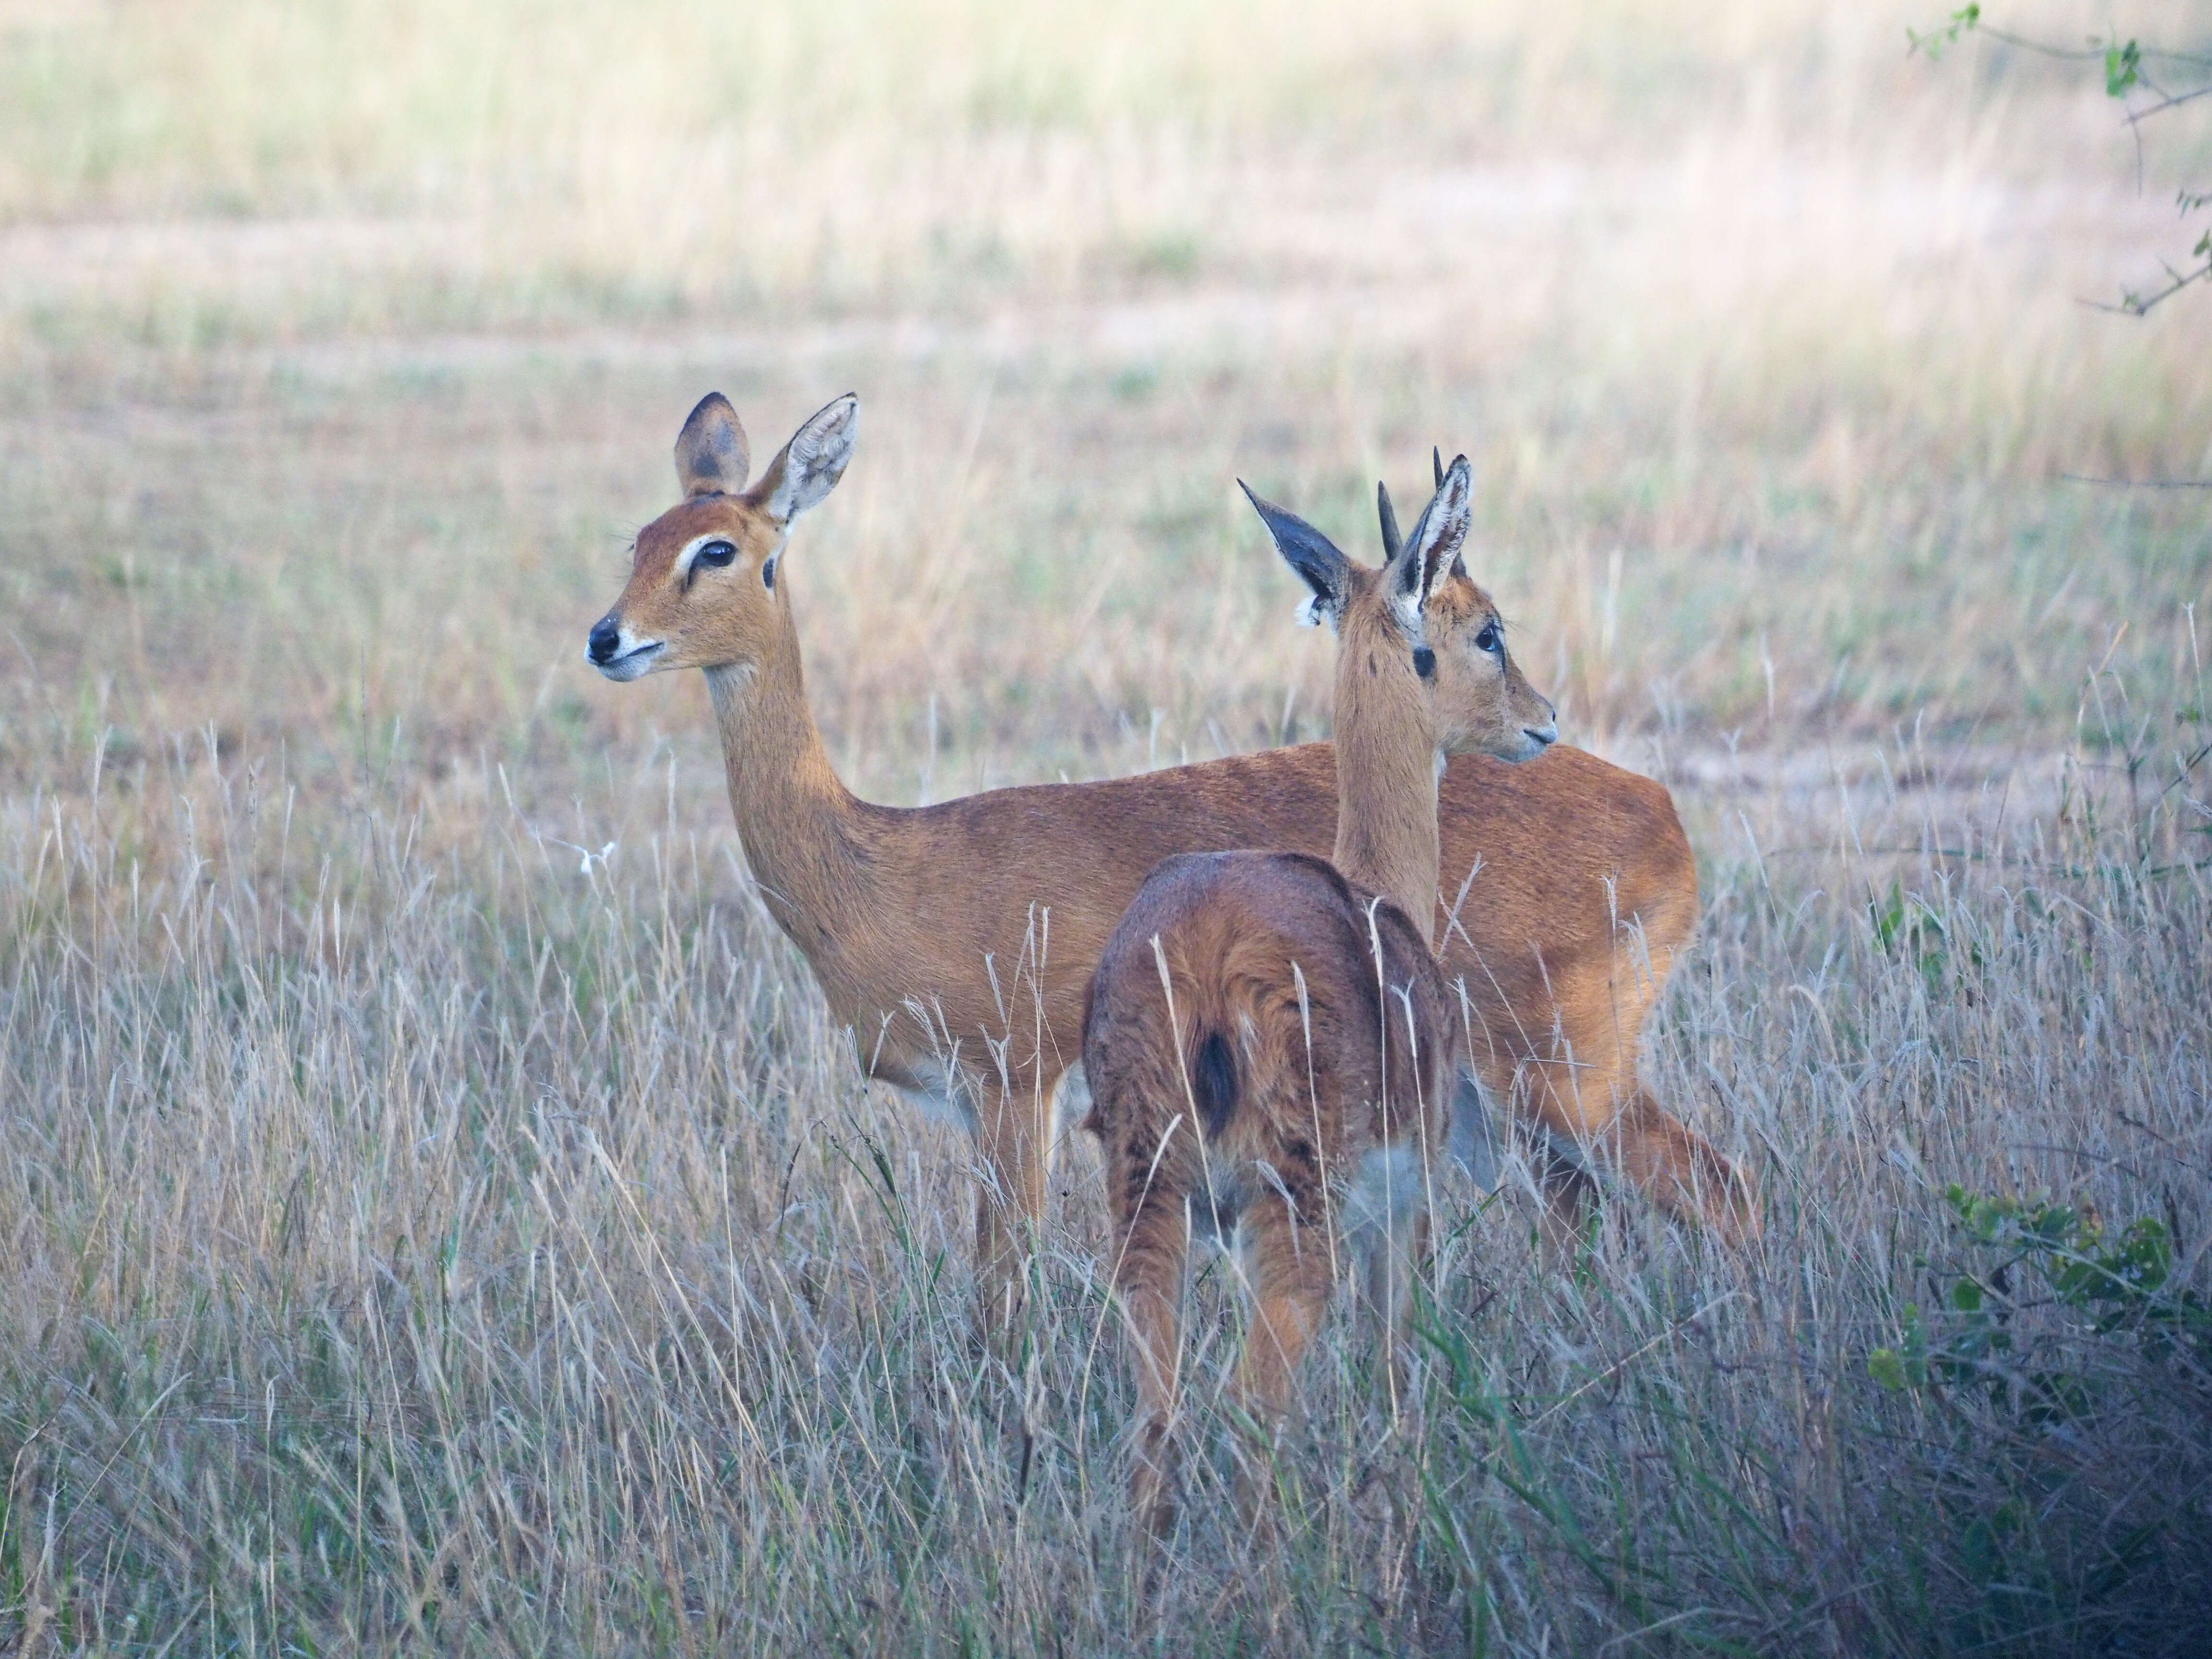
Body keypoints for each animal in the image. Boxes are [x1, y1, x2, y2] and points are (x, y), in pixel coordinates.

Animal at [588, 394, 1760, 1336]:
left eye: (718, 550)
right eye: (641, 539)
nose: (607, 639)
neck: (883, 864)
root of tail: (1662, 813)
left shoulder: (1014, 1089)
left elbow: (1003, 1295)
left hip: (1566, 1086)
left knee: (1724, 1191)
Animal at [1079, 457, 1548, 1548]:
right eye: (1488, 629)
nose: (1542, 719)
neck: (1380, 895)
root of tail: (1205, 960)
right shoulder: (1406, 1208)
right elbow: (1397, 1375)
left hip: (1151, 1206)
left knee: (1157, 1422)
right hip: (1295, 1216)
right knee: (1253, 1409)